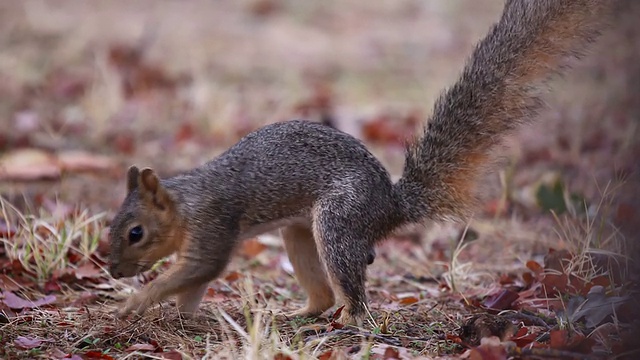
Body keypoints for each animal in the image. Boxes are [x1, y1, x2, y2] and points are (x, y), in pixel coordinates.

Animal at [109, 0, 608, 326]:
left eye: (136, 233)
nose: (112, 271)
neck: (187, 201)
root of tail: (391, 206)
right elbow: (193, 284)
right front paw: (181, 315)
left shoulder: (213, 228)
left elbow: (197, 271)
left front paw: (136, 303)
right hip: (301, 234)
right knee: (321, 294)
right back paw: (297, 314)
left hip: (339, 221)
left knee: (352, 295)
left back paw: (347, 320)